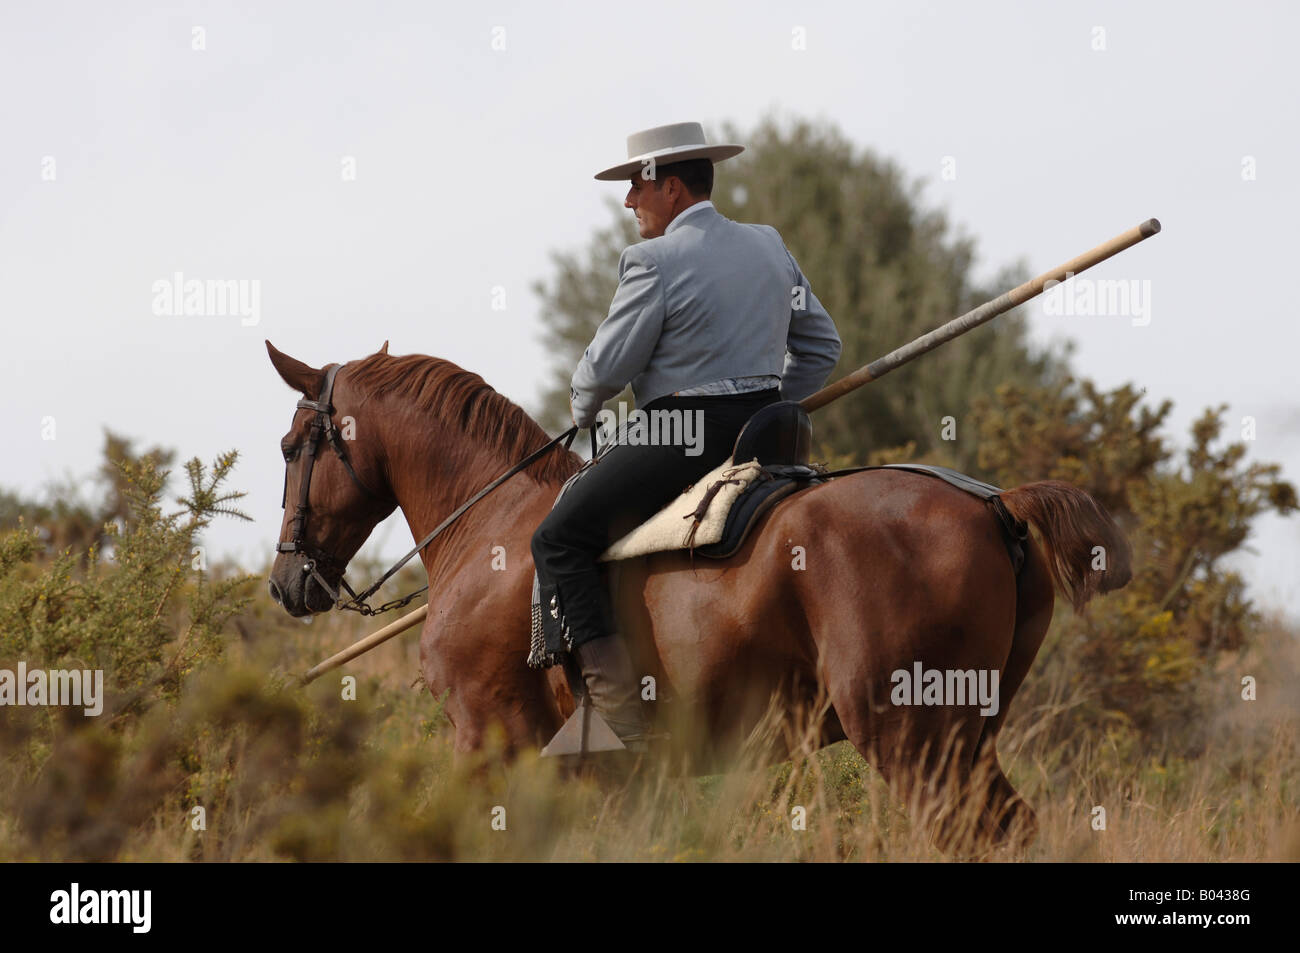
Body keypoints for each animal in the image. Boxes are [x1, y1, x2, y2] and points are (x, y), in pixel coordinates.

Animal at [269, 338, 1133, 842]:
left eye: (290, 444)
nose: (286, 582)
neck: (492, 522)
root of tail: (994, 504)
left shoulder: (486, 739)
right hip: (967, 735)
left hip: (911, 735)